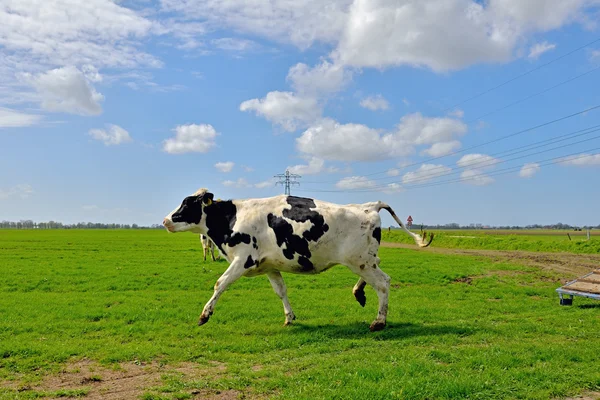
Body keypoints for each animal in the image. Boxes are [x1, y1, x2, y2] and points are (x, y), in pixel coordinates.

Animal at [162, 188, 434, 332]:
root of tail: (368, 206)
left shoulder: (242, 260)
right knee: (376, 274)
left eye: (187, 203)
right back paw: (359, 292)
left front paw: (204, 315)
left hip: (359, 261)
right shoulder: (269, 266)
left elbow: (220, 283)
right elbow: (281, 291)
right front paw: (289, 317)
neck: (231, 218)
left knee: (384, 282)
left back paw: (379, 321)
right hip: (365, 259)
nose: (165, 220)